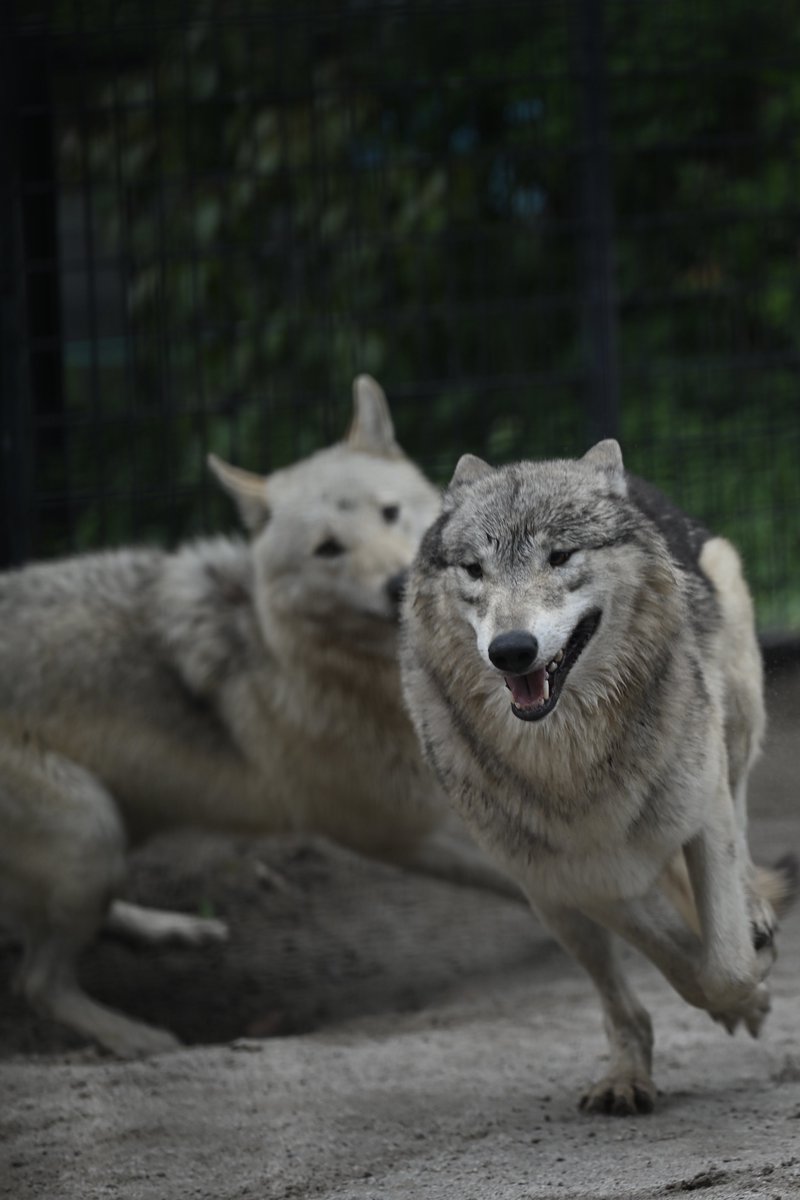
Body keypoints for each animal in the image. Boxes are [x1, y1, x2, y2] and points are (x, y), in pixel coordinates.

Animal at [0, 376, 494, 1060]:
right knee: (36, 980)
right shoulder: (400, 831)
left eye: (390, 512)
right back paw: (138, 1038)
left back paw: (167, 927)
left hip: (117, 830)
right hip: (87, 830)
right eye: (328, 550)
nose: (396, 584)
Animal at [402, 441, 796, 1113]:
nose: (511, 649)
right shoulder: (580, 877)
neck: (573, 759)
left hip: (737, 719)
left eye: (560, 556)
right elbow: (682, 965)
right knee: (620, 1002)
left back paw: (753, 916)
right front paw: (736, 1001)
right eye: (475, 569)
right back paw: (624, 1079)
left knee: (741, 819)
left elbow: (724, 965)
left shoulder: (702, 810)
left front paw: (749, 979)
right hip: (548, 903)